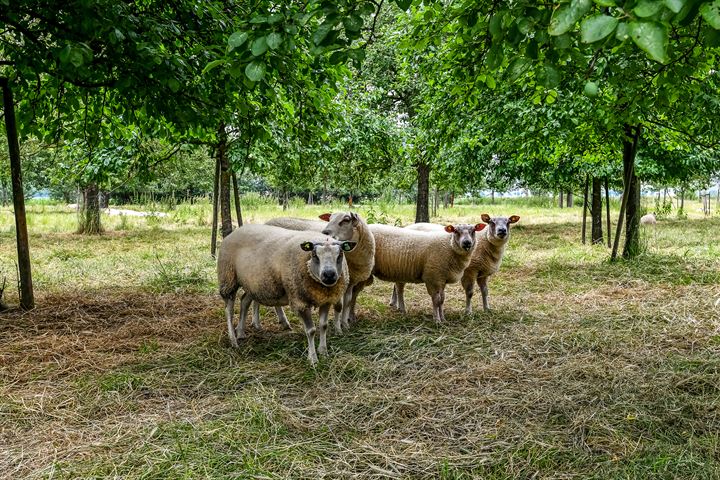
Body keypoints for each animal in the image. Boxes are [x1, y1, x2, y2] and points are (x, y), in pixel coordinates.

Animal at [218, 224, 356, 364]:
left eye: (340, 254)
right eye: (314, 255)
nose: (329, 275)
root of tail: (237, 230)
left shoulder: (325, 300)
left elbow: (323, 326)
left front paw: (323, 352)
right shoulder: (300, 301)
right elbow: (311, 330)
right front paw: (313, 359)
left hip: (251, 283)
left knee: (244, 301)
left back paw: (240, 333)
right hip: (228, 277)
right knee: (229, 310)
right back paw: (233, 340)